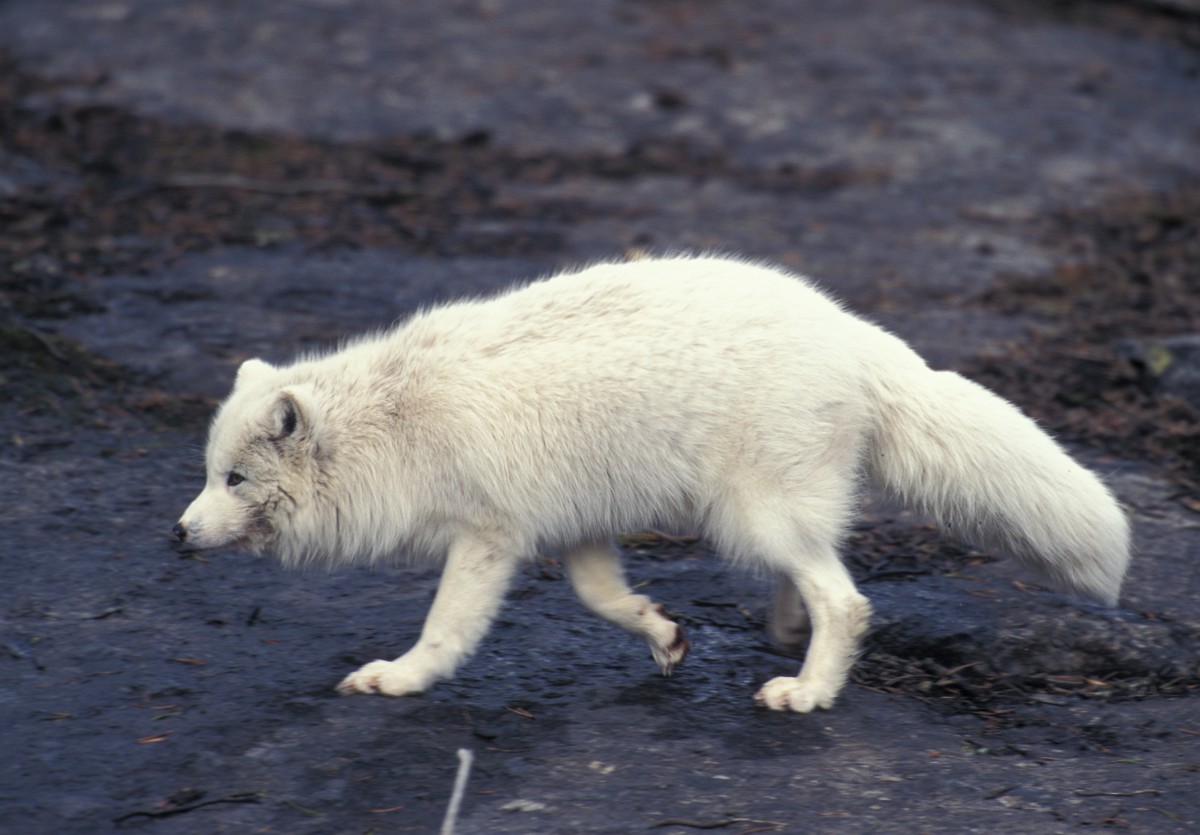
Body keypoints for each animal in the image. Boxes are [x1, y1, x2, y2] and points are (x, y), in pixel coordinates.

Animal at [174, 254, 1128, 710]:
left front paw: (400, 679)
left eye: (235, 477)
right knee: (817, 573)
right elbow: (604, 597)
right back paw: (785, 631)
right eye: (209, 475)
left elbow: (445, 630)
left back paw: (810, 690)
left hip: (748, 513)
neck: (395, 423)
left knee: (848, 599)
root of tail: (856, 333)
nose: (176, 532)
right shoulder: (571, 525)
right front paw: (664, 635)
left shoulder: (489, 535)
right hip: (763, 516)